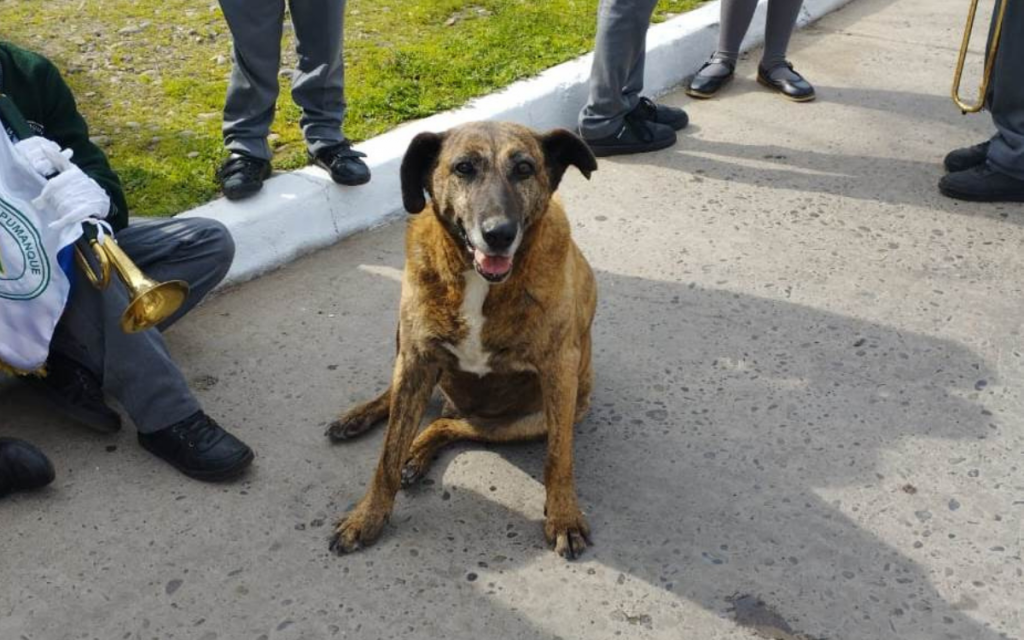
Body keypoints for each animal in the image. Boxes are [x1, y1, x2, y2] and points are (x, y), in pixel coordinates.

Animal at [327, 122, 598, 557]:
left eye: (524, 168)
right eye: (463, 168)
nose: (499, 234)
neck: (477, 281)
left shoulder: (559, 371)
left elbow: (559, 458)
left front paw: (563, 516)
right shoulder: (417, 359)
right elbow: (387, 454)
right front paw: (366, 516)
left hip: (525, 420)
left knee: (448, 424)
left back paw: (419, 451)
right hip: (407, 345)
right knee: (406, 401)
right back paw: (361, 418)